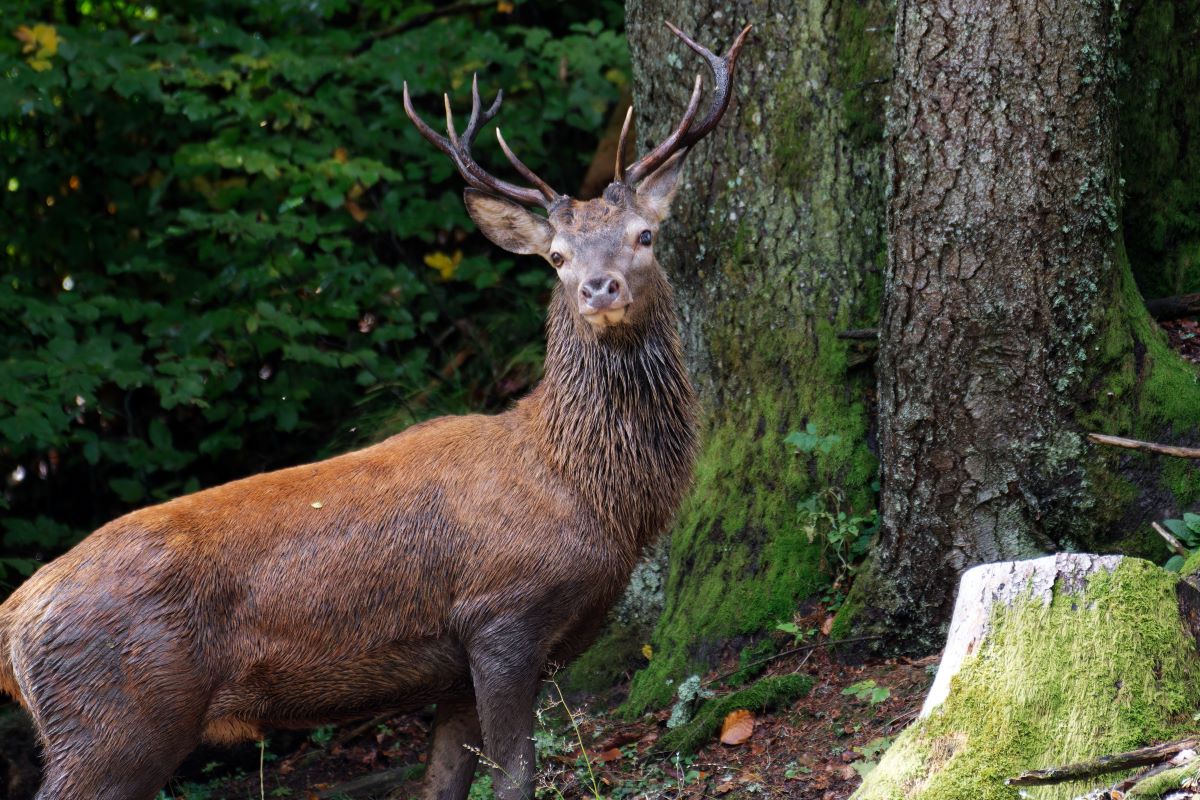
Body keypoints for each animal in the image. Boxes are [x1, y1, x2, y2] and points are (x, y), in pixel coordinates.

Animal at [0, 22, 750, 800]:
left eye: (644, 236)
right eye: (556, 256)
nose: (600, 288)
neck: (590, 492)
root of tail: (13, 626)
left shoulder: (457, 670)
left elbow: (445, 782)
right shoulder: (501, 615)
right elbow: (515, 775)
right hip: (116, 722)